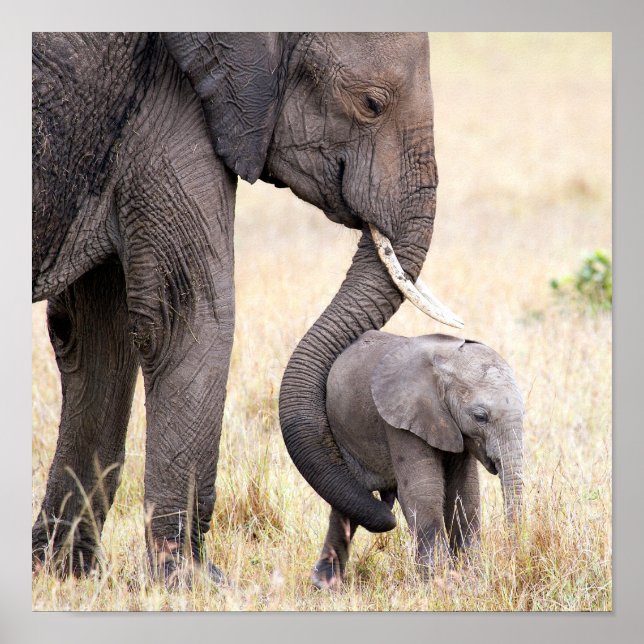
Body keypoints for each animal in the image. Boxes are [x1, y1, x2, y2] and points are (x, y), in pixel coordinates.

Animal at [32, 32, 462, 582]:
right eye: (371, 104)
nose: (383, 508)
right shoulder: (171, 101)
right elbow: (189, 318)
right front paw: (193, 581)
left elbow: (94, 334)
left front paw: (65, 574)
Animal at [310, 331, 524, 589]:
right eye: (480, 417)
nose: (513, 557)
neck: (446, 361)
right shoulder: (403, 418)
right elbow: (423, 492)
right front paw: (440, 584)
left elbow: (464, 494)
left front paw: (471, 579)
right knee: (348, 498)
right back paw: (325, 584)